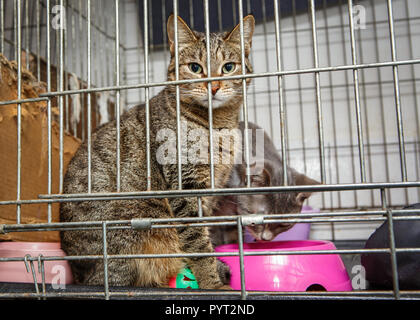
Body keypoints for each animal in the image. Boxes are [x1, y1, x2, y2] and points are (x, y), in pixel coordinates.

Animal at [60, 13, 254, 288]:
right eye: (195, 68)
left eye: (228, 67)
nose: (213, 87)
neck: (218, 125)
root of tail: (79, 274)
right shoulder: (185, 185)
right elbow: (198, 242)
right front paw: (213, 283)